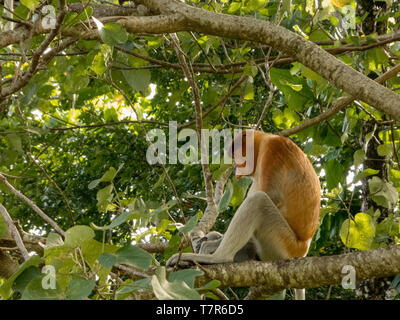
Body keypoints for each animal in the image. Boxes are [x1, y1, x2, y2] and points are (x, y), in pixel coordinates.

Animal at [166, 130, 322, 300]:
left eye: (239, 153)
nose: (238, 165)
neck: (264, 142)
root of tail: (303, 250)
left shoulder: (274, 149)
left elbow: (272, 196)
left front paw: (210, 244)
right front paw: (210, 238)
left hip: (283, 245)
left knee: (258, 201)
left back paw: (215, 257)